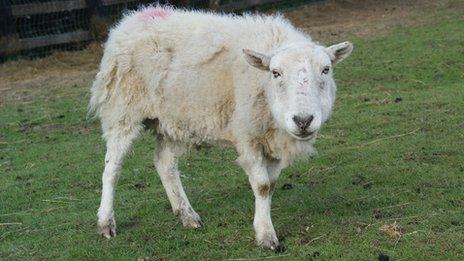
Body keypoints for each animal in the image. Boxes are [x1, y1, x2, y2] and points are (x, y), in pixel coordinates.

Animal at [89, 5, 352, 250]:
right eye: (276, 73)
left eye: (326, 70)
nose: (303, 120)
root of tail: (134, 17)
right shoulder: (248, 135)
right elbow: (262, 186)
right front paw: (266, 235)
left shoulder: (272, 139)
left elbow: (271, 185)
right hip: (123, 110)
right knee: (112, 168)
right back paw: (105, 222)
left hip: (174, 119)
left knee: (164, 163)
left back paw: (187, 215)